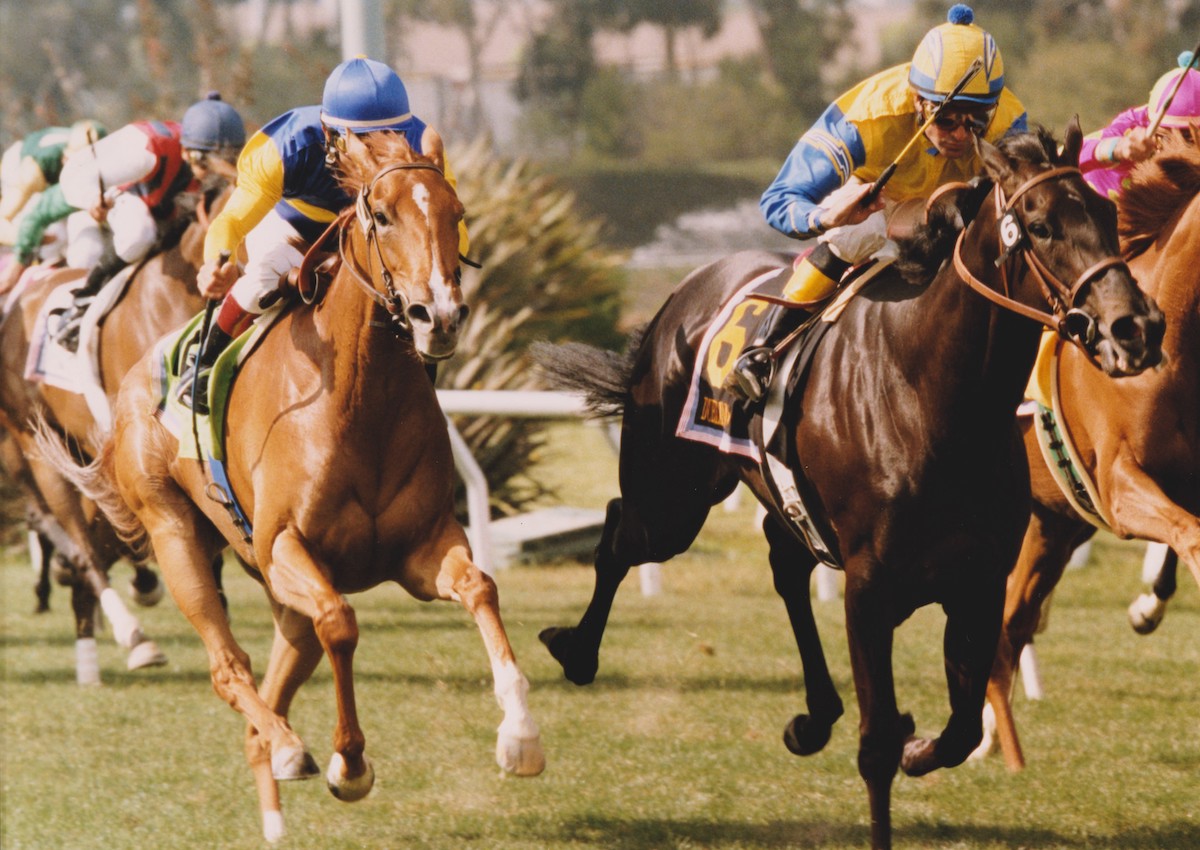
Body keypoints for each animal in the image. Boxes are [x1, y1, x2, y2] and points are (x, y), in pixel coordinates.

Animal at [38, 132, 544, 845]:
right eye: (381, 215)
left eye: (457, 212)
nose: (439, 316)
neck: (361, 397)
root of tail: (134, 379)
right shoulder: (288, 548)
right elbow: (341, 621)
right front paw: (349, 763)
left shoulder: (422, 548)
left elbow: (479, 587)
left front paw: (520, 736)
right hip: (178, 537)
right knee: (230, 669)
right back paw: (286, 745)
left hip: (274, 592)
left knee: (271, 691)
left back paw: (275, 798)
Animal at [528, 123, 1161, 845]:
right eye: (1040, 224)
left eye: (1108, 213)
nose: (1135, 328)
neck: (933, 394)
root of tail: (680, 295)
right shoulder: (870, 588)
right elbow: (878, 744)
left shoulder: (977, 581)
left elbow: (958, 728)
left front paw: (921, 745)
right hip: (671, 500)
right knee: (618, 530)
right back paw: (576, 651)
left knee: (782, 562)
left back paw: (812, 716)